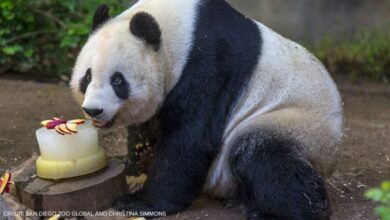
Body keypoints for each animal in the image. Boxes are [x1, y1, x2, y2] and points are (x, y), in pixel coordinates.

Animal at [69, 0, 342, 220]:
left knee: (262, 157)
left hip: (295, 124)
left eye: (118, 80)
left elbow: (190, 140)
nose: (93, 110)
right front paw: (134, 169)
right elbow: (146, 130)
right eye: (87, 77)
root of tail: (330, 158)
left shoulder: (209, 65)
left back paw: (287, 211)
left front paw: (140, 202)